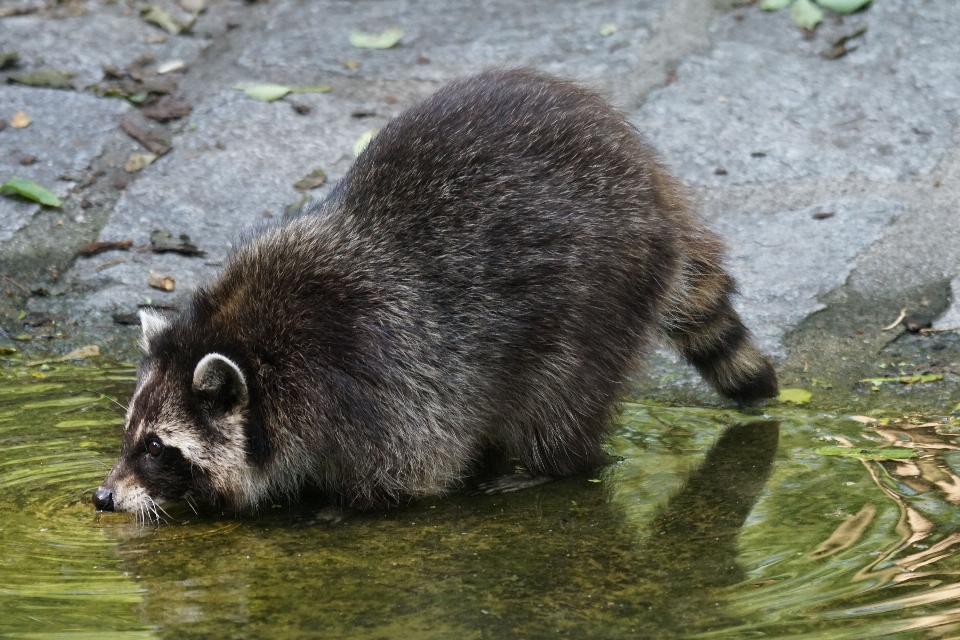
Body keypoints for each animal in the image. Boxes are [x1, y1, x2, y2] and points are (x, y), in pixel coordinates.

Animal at [92, 70, 780, 516]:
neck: (252, 342)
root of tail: (651, 181)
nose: (102, 496)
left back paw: (547, 467)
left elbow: (416, 467)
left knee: (559, 400)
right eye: (132, 434)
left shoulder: (374, 377)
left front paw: (341, 504)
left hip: (602, 288)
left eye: (157, 448)